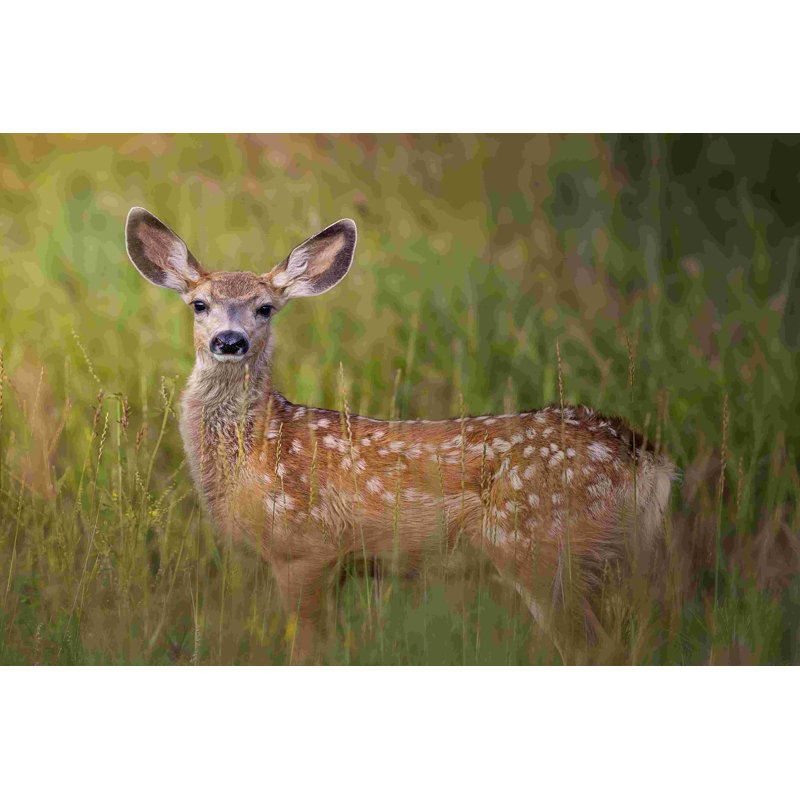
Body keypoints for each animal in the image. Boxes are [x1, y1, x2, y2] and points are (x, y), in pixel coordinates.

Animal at [124, 207, 676, 662]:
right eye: (198, 304)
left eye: (265, 308)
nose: (229, 340)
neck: (257, 447)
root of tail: (644, 456)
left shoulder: (304, 549)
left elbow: (308, 653)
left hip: (544, 546)